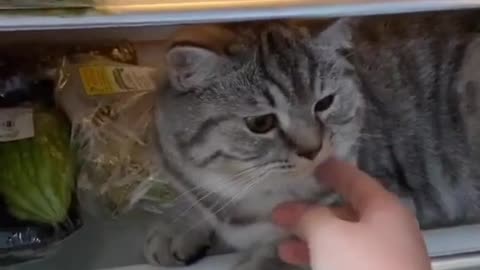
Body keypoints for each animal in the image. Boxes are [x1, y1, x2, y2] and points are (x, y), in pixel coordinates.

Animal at [144, 11, 480, 270]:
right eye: (261, 123)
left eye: (325, 103)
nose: (312, 148)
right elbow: (195, 202)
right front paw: (179, 226)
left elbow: (285, 249)